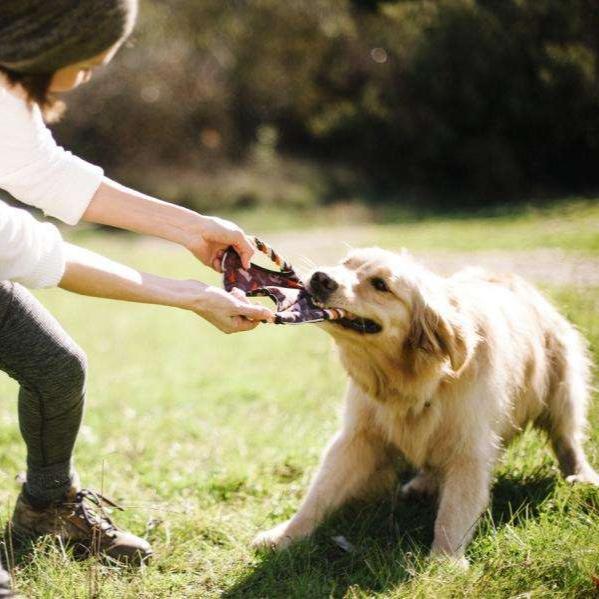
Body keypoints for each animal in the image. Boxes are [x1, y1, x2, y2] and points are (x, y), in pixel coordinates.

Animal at [253, 246, 599, 564]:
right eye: (345, 263)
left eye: (380, 284)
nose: (320, 278)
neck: (411, 380)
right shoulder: (357, 436)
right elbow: (320, 492)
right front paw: (285, 535)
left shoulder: (469, 445)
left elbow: (455, 508)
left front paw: (445, 563)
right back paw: (423, 483)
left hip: (562, 387)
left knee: (566, 438)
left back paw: (581, 476)